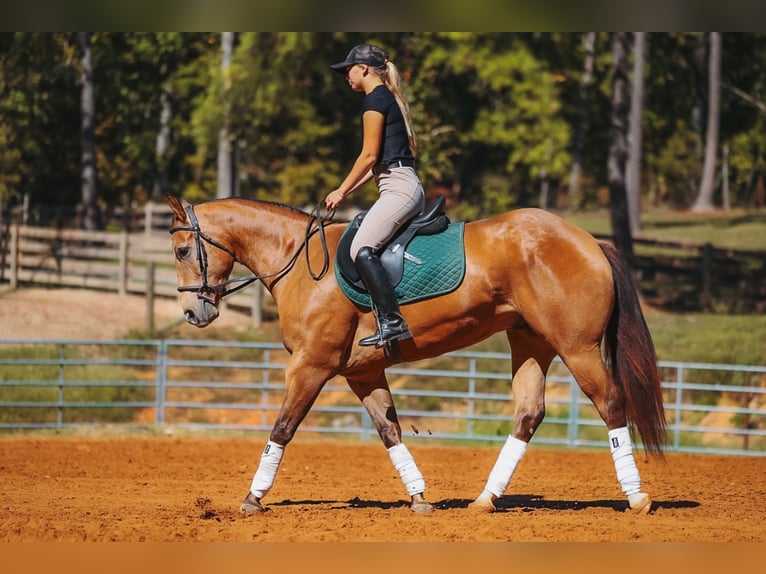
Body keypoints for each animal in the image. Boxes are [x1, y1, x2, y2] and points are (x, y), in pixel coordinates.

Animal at [166, 195, 666, 516]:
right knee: (529, 414)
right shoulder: (363, 374)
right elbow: (390, 432)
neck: (301, 262)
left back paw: (637, 498)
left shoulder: (310, 366)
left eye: (182, 249)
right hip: (530, 343)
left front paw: (253, 498)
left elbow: (282, 429)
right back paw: (485, 500)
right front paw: (419, 498)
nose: (193, 312)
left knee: (611, 404)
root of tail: (589, 240)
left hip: (577, 348)